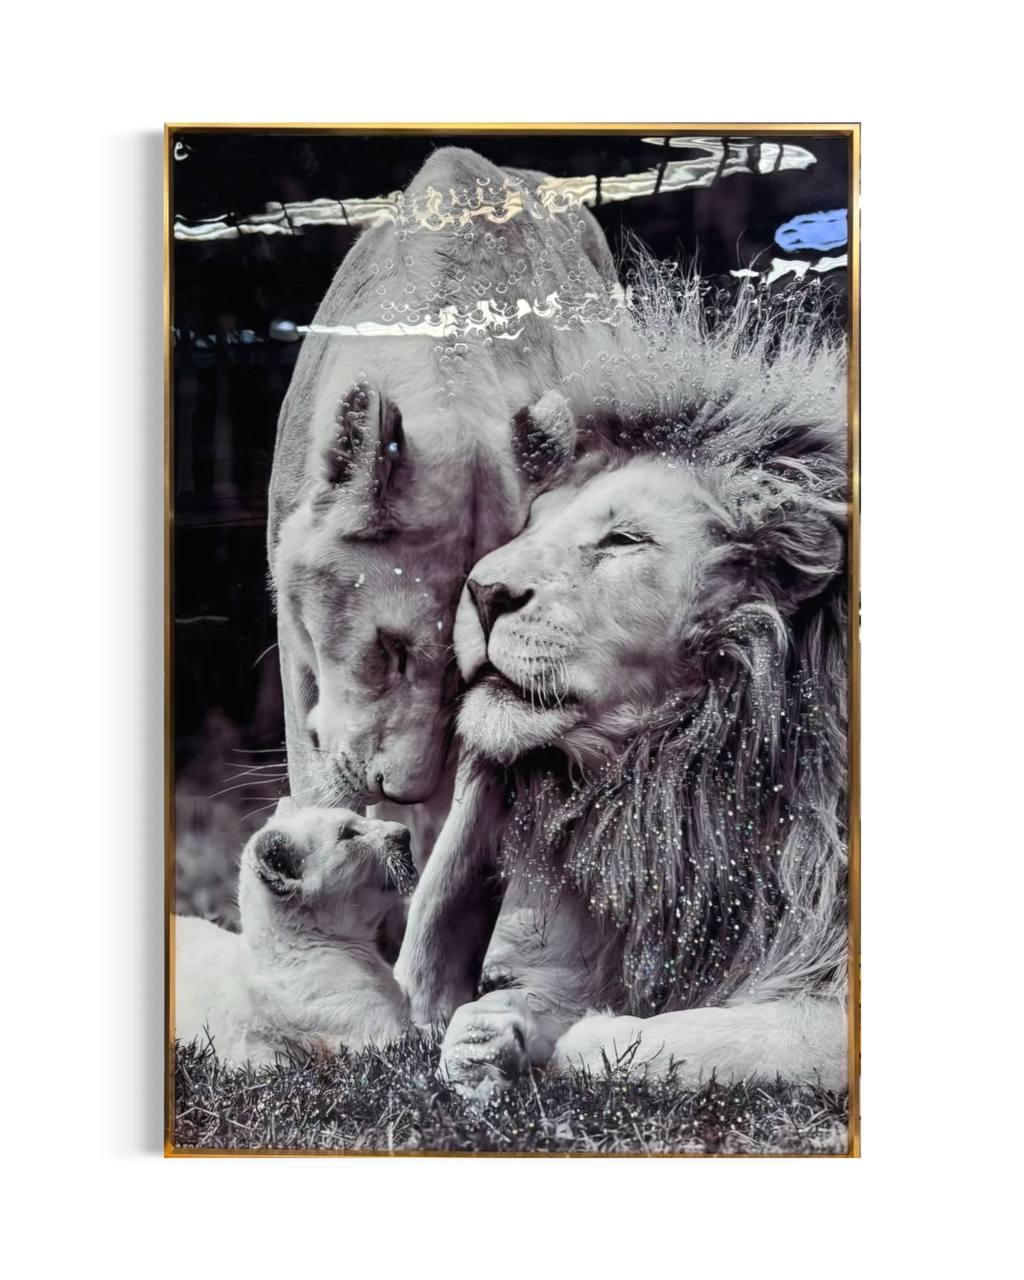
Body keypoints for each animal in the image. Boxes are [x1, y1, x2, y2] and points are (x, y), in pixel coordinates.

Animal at [395, 269, 850, 1098]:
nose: (482, 591)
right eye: (533, 523)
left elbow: (716, 1036)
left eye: (623, 540)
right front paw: (486, 1037)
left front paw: (589, 1039)